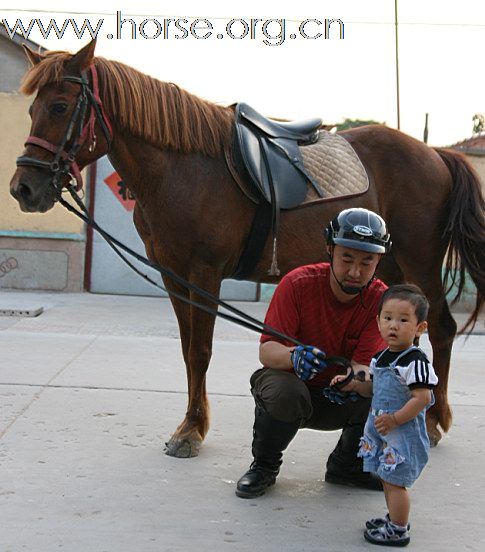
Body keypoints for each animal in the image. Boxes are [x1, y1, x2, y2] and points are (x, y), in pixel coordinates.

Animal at [9, 41, 482, 458]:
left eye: (60, 107)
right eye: (31, 110)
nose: (23, 189)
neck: (182, 169)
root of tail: (436, 154)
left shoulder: (204, 273)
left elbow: (201, 351)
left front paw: (190, 432)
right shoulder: (172, 274)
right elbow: (187, 351)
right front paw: (190, 424)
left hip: (421, 261)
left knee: (441, 329)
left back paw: (434, 421)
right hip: (395, 266)